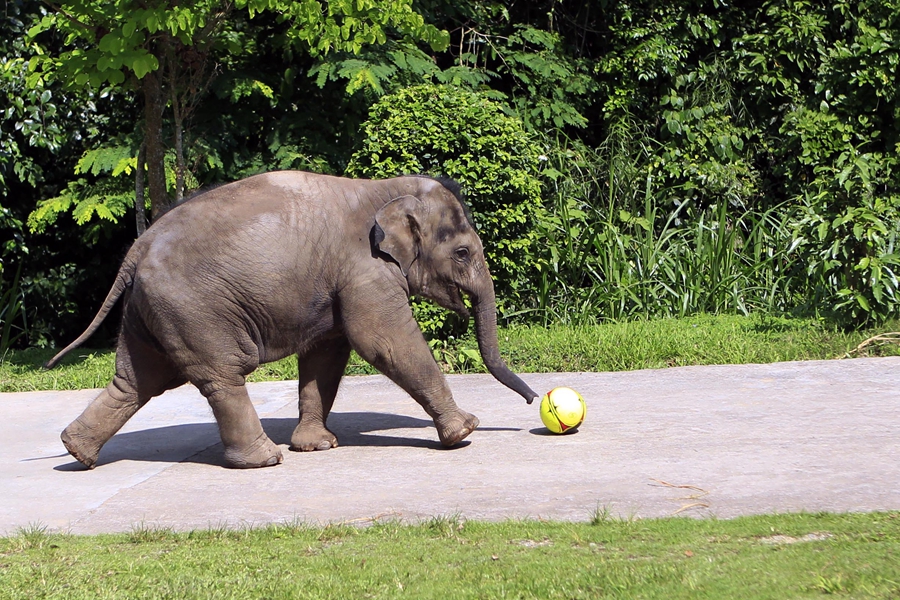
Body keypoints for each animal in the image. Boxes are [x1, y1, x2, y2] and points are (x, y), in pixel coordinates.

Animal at [47, 170, 540, 468]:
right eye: (463, 253)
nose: (535, 401)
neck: (385, 188)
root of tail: (136, 249)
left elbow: (328, 353)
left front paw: (318, 446)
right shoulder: (364, 270)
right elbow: (382, 340)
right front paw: (465, 432)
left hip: (149, 310)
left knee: (136, 380)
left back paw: (77, 453)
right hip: (191, 308)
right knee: (221, 374)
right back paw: (264, 460)